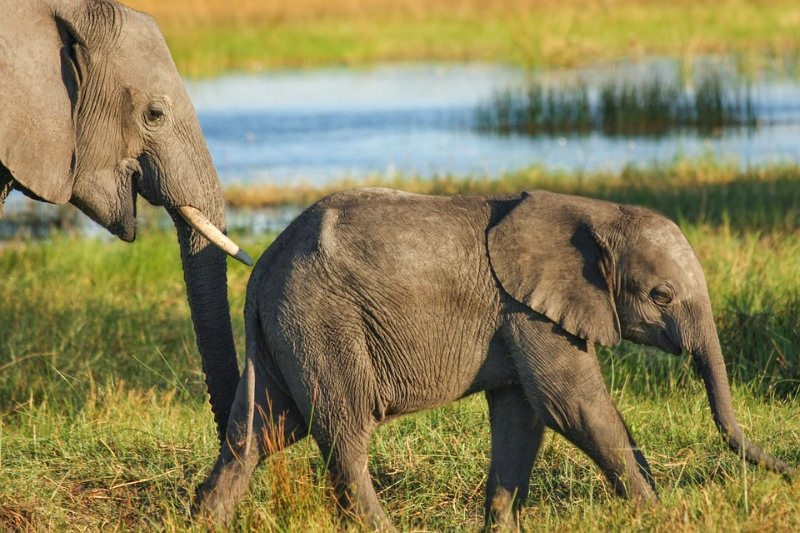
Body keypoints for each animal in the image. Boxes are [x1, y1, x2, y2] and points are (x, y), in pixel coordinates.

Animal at [195, 187, 792, 528]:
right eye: (661, 295)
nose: (790, 473)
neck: (595, 211)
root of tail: (261, 270)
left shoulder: (520, 315)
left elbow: (521, 417)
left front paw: (501, 527)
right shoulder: (529, 310)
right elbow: (573, 407)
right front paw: (658, 514)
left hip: (287, 331)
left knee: (259, 433)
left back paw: (204, 519)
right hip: (322, 324)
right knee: (343, 434)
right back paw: (379, 526)